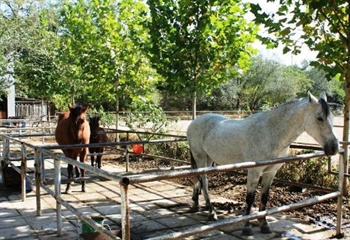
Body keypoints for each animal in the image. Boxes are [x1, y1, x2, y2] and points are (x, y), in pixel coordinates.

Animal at [186, 92, 340, 236]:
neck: (270, 132)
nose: (334, 148)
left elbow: (264, 197)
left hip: (208, 159)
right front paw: (246, 227)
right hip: (200, 157)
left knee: (200, 180)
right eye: (319, 118)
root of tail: (194, 122)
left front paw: (264, 224)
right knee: (204, 182)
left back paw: (197, 205)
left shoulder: (270, 173)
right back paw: (211, 212)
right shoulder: (254, 172)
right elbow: (250, 198)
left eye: (332, 118)